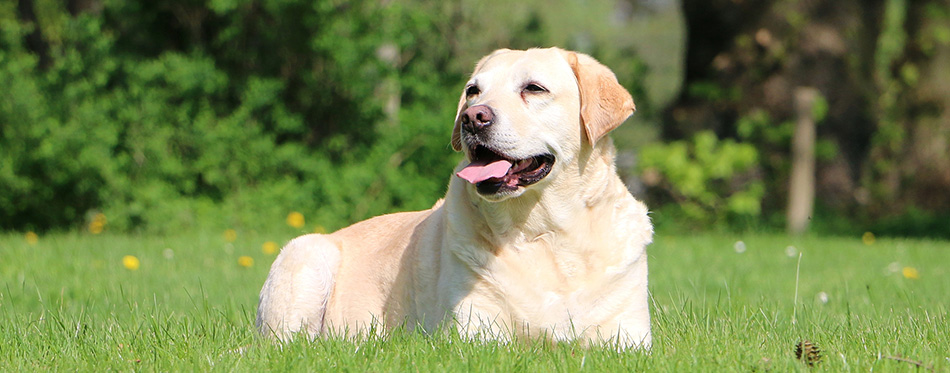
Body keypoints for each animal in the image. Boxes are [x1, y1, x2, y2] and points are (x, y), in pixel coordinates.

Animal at [255, 47, 656, 348]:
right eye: (473, 91)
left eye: (534, 88)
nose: (473, 117)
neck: (545, 234)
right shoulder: (476, 335)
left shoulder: (629, 338)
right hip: (306, 256)